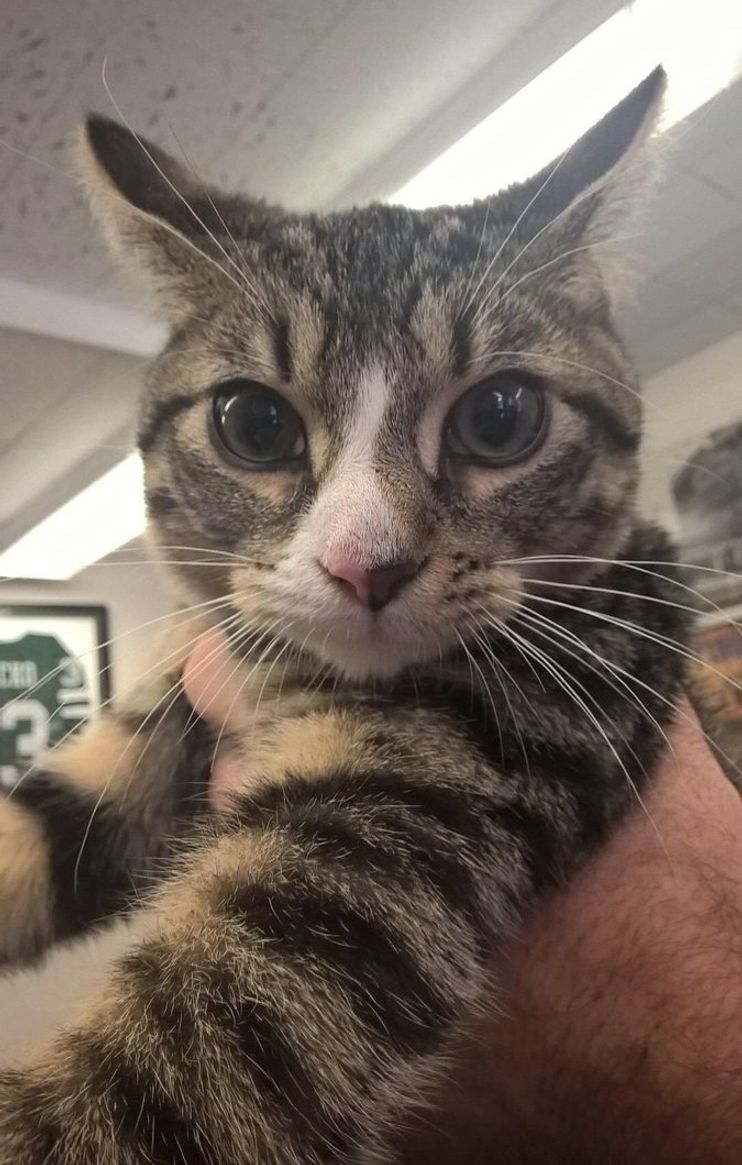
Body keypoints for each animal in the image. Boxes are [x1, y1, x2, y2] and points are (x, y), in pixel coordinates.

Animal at [0, 68, 689, 1160]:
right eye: (253, 422)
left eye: (501, 417)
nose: (367, 564)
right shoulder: (187, 670)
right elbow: (50, 816)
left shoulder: (474, 749)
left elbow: (193, 1053)